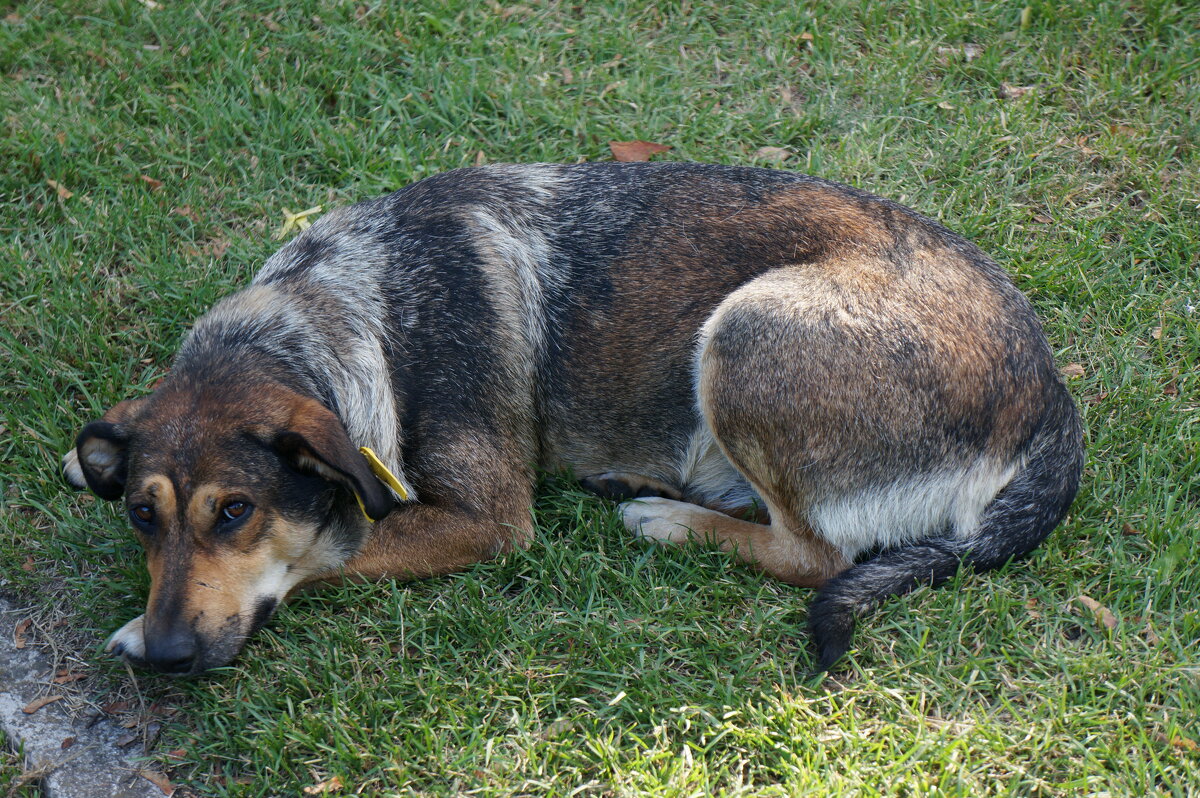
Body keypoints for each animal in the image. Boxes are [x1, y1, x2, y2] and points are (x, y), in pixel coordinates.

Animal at [60, 162, 1084, 672]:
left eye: (236, 512)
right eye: (141, 517)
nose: (167, 659)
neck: (352, 306)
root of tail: (1052, 404)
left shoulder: (486, 521)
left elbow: (329, 550)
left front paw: (135, 631)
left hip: (748, 332)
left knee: (818, 554)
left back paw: (667, 518)